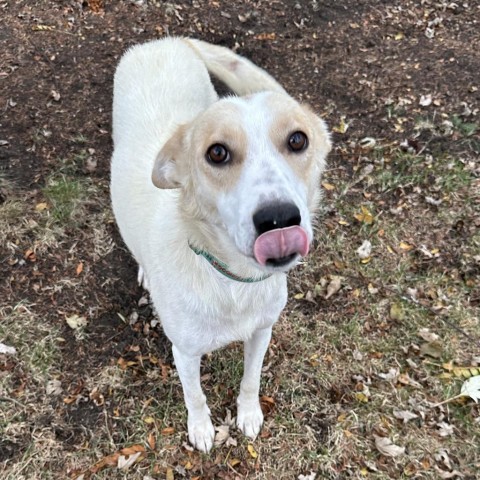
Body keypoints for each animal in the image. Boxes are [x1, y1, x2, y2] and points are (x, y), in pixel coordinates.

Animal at [110, 36, 332, 450]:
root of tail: (160, 40)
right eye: (217, 152)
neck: (232, 281)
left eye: (297, 140)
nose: (278, 219)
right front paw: (201, 429)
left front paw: (249, 415)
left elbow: (251, 380)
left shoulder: (262, 332)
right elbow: (195, 395)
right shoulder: (184, 352)